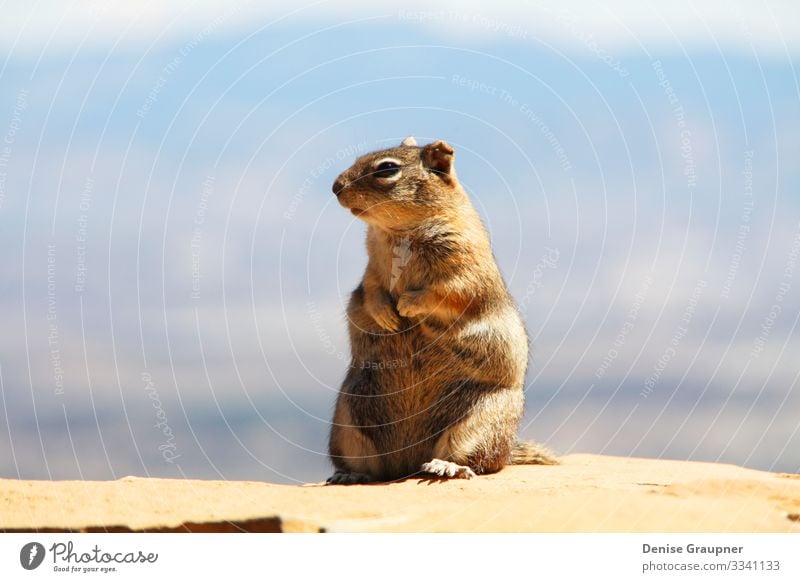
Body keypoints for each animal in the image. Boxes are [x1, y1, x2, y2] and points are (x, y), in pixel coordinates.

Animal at [324, 136, 556, 484]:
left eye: (387, 169)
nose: (336, 186)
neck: (398, 232)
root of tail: (406, 462)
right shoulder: (371, 272)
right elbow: (370, 292)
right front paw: (386, 315)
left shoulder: (464, 269)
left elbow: (444, 293)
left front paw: (407, 305)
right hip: (347, 419)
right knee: (371, 467)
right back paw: (350, 475)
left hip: (481, 419)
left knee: (477, 460)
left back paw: (446, 467)